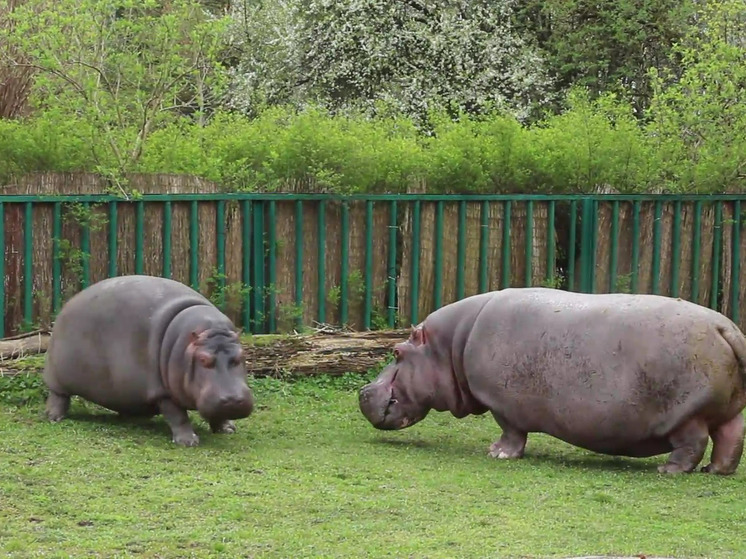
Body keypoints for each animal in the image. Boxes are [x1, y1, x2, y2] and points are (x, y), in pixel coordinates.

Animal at [42, 274, 253, 448]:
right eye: (202, 359)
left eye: (241, 355)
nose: (233, 400)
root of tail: (67, 304)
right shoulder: (163, 392)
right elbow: (178, 416)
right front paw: (188, 441)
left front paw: (227, 429)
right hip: (57, 376)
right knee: (58, 396)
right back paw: (53, 417)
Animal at [356, 288, 746, 476]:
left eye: (397, 351)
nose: (362, 391)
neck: (450, 345)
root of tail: (725, 326)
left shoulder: (504, 404)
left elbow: (511, 432)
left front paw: (497, 454)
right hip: (726, 409)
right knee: (730, 438)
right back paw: (716, 471)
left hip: (687, 415)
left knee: (693, 443)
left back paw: (668, 470)